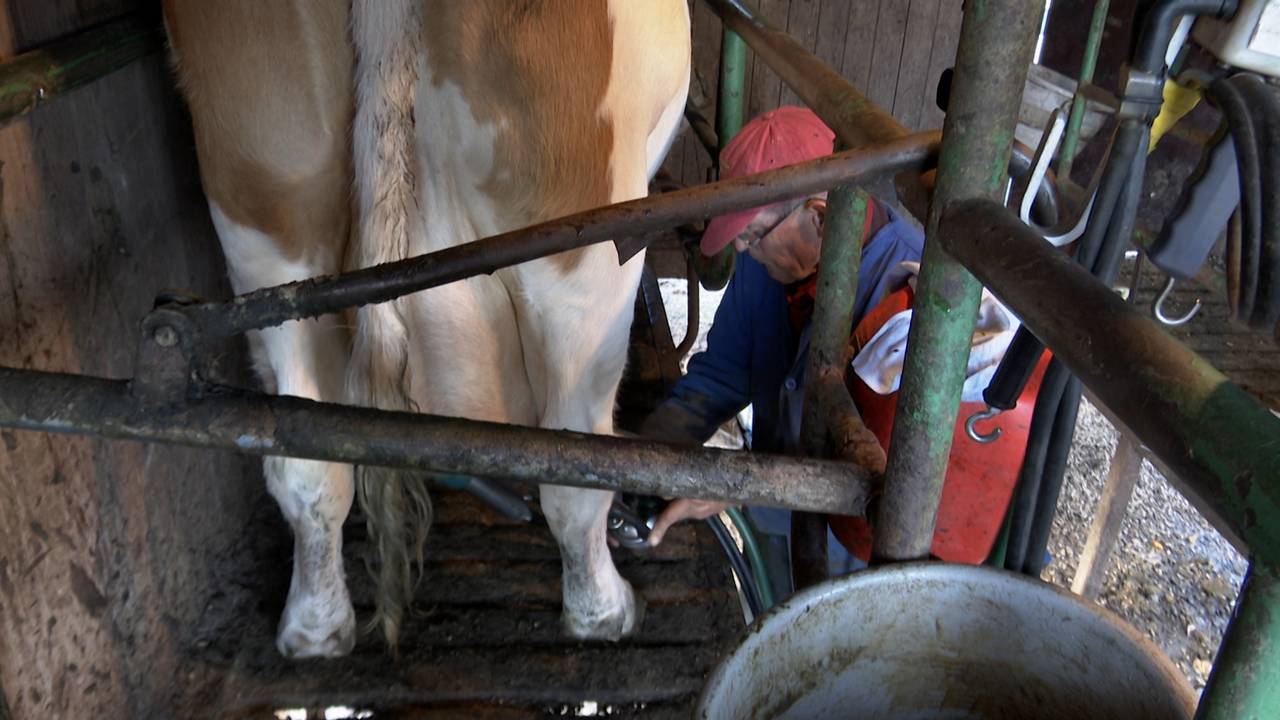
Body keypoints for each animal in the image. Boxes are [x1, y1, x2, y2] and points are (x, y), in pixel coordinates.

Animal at [163, 0, 691, 658]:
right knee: (577, 467)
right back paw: (604, 613)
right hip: (586, 249)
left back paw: (314, 628)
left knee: (303, 461)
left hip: (267, 204)